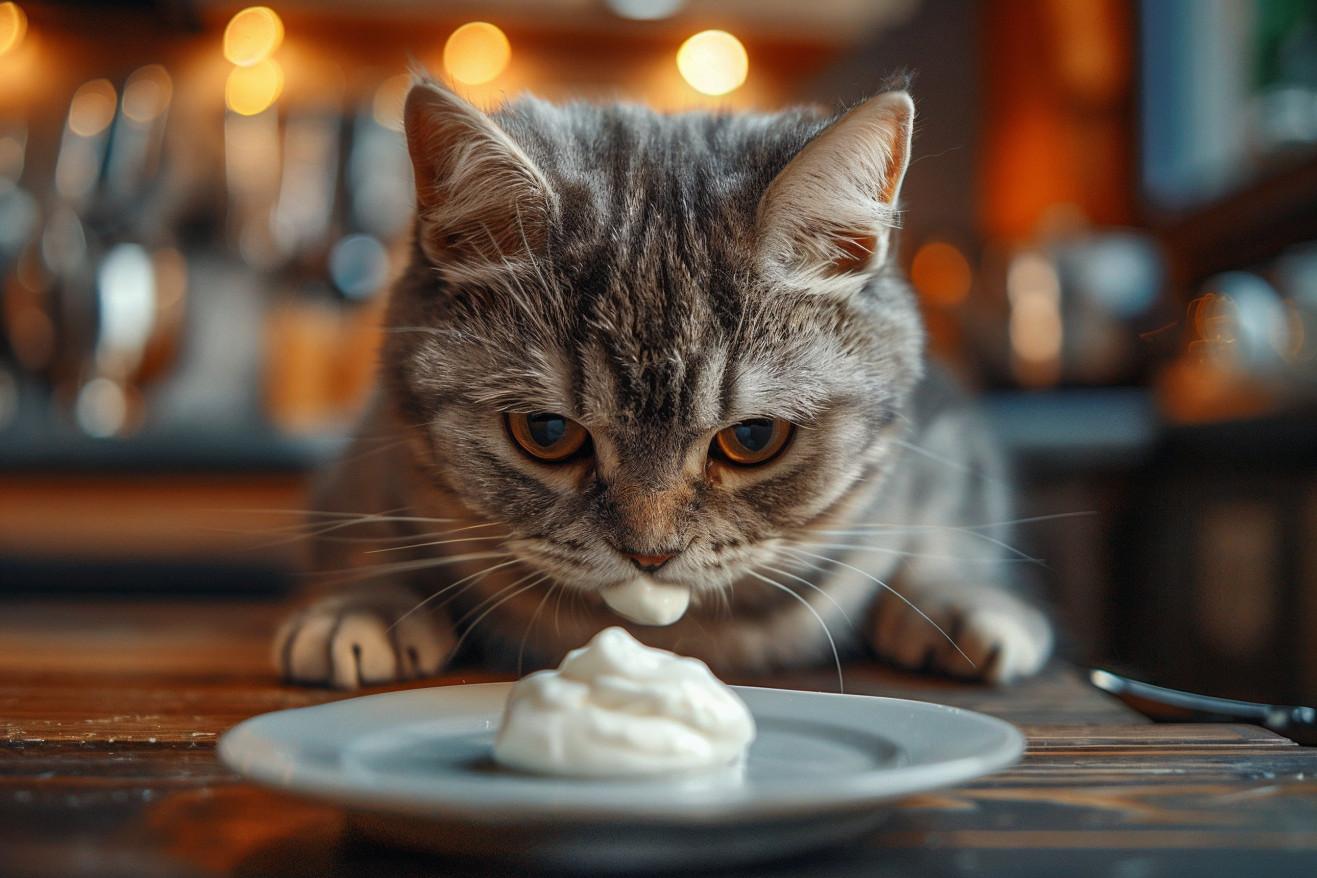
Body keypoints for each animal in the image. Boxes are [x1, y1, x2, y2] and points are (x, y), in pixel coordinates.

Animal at [272, 75, 1053, 689]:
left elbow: (947, 531)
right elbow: (370, 528)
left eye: (753, 438)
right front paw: (362, 603)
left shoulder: (949, 443)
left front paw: (962, 599)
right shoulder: (370, 454)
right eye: (546, 432)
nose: (648, 556)